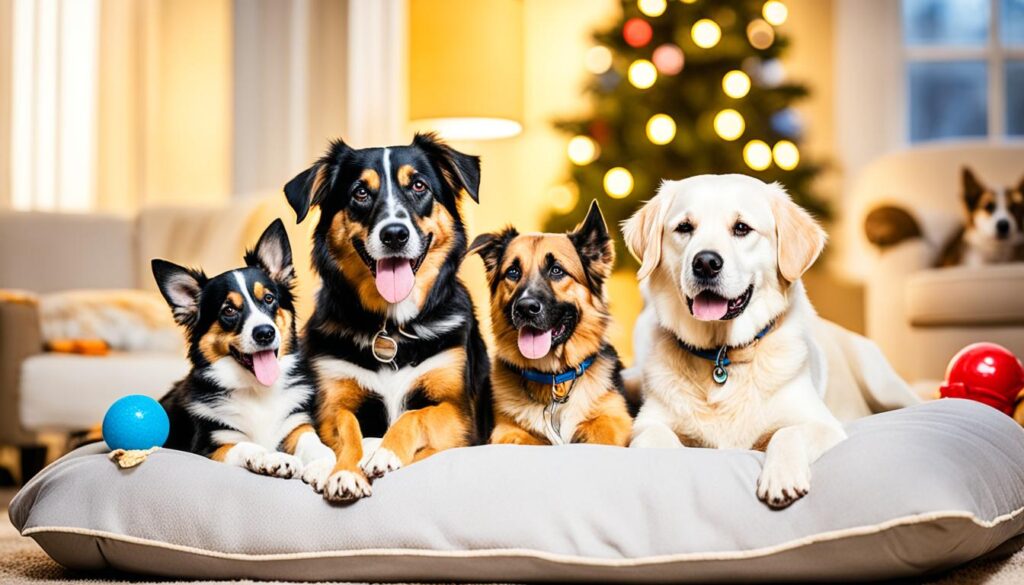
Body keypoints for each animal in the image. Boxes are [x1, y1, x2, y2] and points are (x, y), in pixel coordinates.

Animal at [280, 134, 487, 504]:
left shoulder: (457, 412)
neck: (392, 328)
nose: (394, 234)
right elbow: (348, 430)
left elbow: (416, 416)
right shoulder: (331, 404)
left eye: (419, 186)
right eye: (360, 192)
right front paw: (345, 472)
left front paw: (385, 452)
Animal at [468, 201, 630, 448]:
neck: (555, 380)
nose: (525, 308)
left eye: (556, 270)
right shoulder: (505, 432)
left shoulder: (615, 419)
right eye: (513, 272)